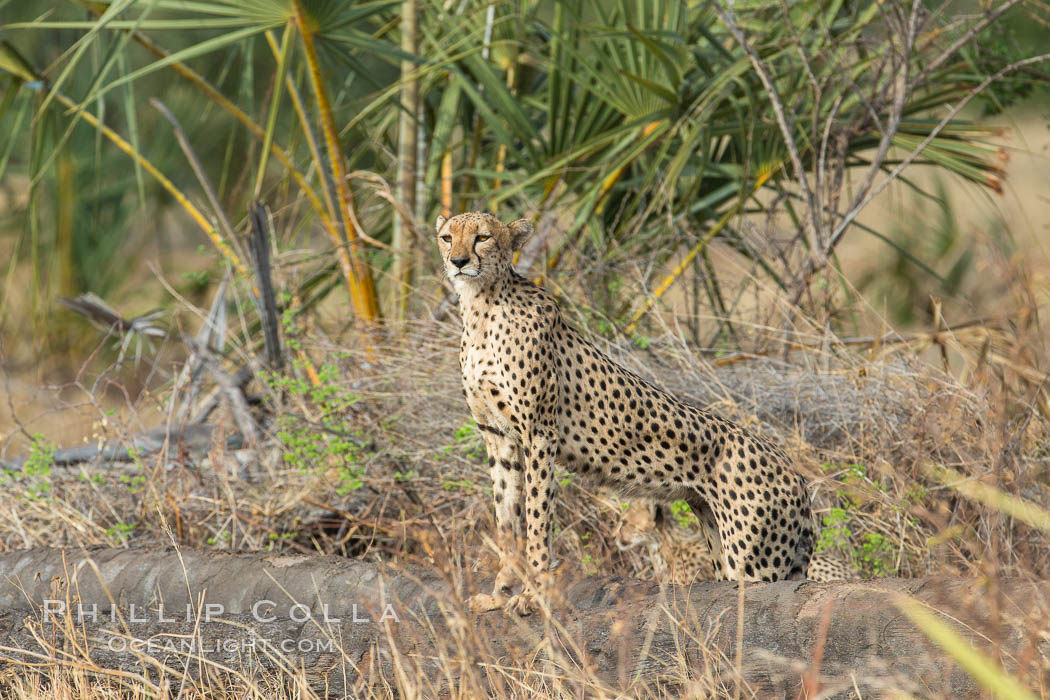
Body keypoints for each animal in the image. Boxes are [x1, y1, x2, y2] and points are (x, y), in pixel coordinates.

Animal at [438, 211, 814, 612]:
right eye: (447, 237)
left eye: (482, 237)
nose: (458, 261)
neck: (480, 307)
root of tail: (794, 469)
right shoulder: (498, 436)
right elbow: (506, 515)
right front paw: (501, 591)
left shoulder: (540, 432)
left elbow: (537, 516)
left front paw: (533, 592)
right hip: (719, 540)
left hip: (756, 563)